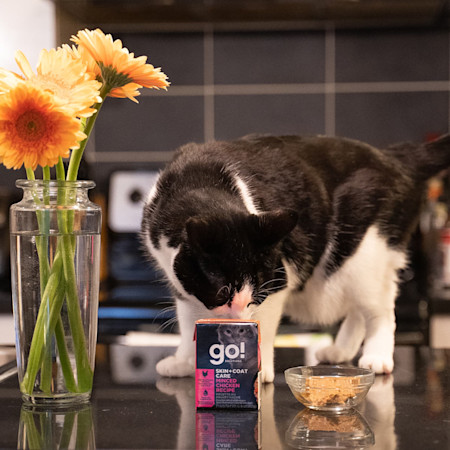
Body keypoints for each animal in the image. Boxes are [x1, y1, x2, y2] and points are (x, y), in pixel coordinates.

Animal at [141, 132, 450, 382]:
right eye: (222, 292)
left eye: (257, 293)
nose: (239, 316)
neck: (198, 180)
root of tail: (394, 157)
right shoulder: (181, 283)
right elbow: (187, 321)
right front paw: (183, 361)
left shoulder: (279, 276)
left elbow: (264, 324)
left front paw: (258, 368)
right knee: (359, 308)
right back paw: (340, 350)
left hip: (364, 252)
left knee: (380, 309)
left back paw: (377, 356)